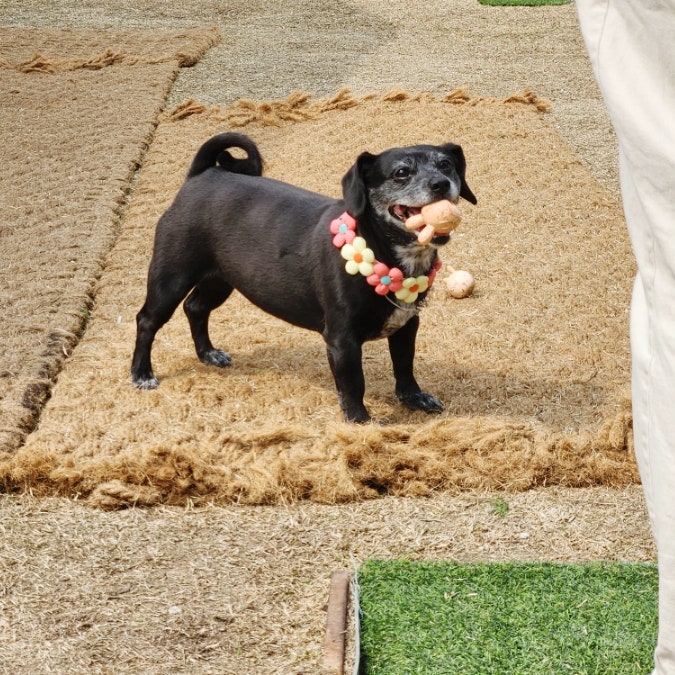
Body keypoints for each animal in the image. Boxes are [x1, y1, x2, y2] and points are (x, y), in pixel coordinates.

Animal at [131, 132, 476, 422]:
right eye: (401, 173)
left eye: (446, 165)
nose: (441, 183)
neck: (378, 249)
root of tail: (203, 175)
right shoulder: (342, 341)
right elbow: (353, 384)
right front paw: (360, 422)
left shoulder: (406, 324)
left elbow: (404, 367)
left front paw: (413, 398)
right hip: (171, 278)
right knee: (147, 321)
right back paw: (141, 374)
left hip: (221, 279)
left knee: (196, 308)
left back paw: (207, 354)